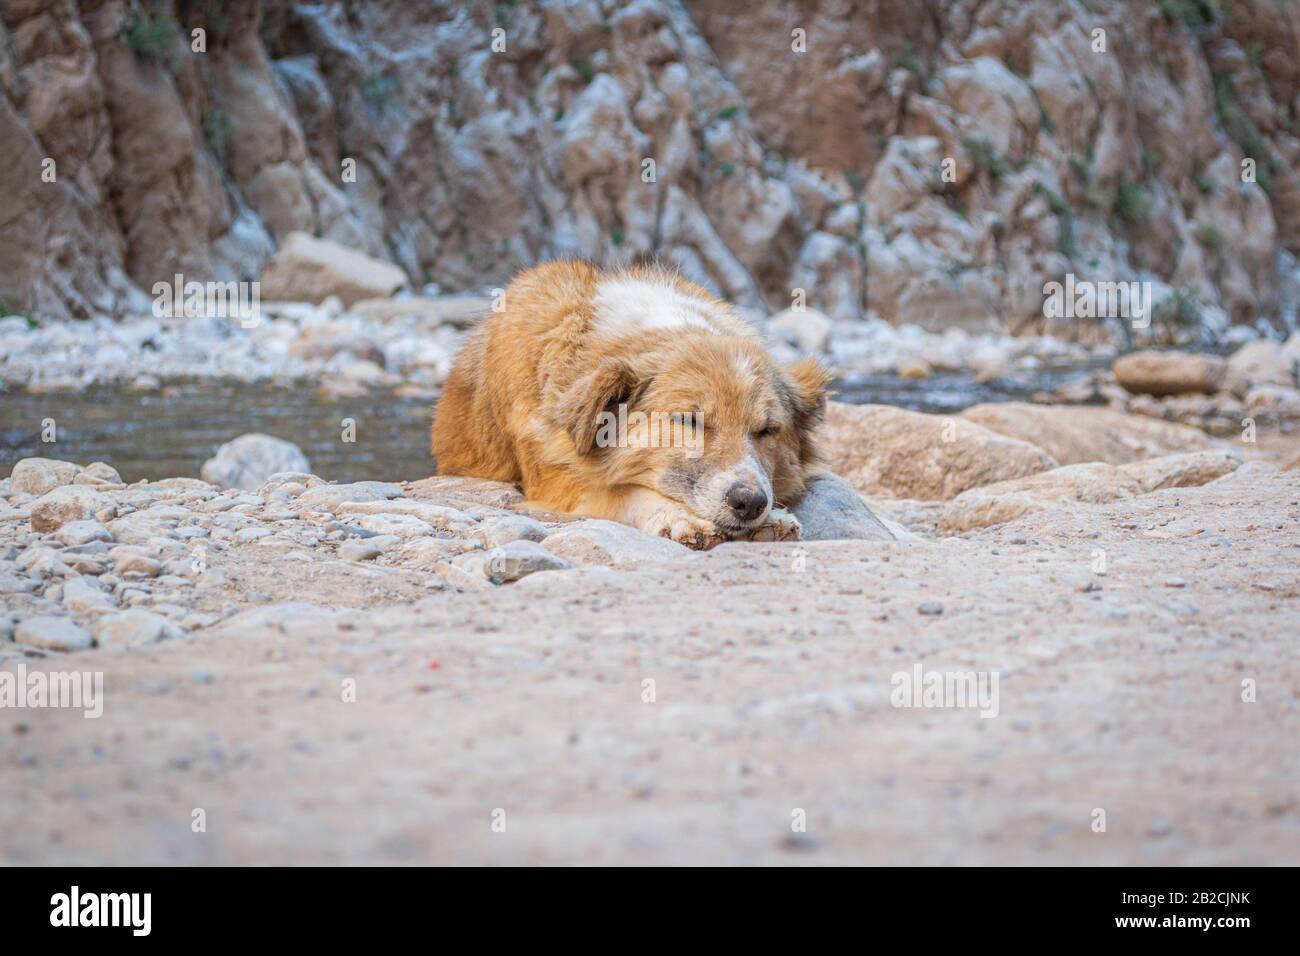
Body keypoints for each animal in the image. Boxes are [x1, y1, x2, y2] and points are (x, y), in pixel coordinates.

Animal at [431, 261, 826, 548]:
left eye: (767, 430)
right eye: (689, 421)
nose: (750, 502)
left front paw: (773, 517)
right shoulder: (553, 477)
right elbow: (619, 491)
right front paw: (676, 516)